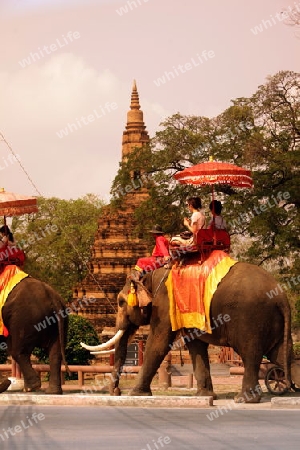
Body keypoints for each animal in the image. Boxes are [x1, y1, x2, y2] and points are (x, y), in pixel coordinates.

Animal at [84, 262, 300, 402]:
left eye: (121, 302)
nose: (116, 392)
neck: (152, 275)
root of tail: (282, 296)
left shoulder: (165, 305)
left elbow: (159, 342)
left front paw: (135, 394)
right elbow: (195, 344)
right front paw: (206, 396)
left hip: (251, 319)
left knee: (251, 355)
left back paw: (243, 400)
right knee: (282, 354)